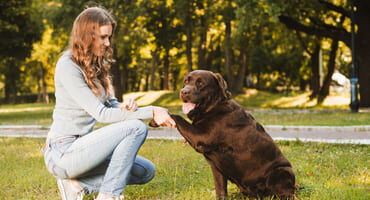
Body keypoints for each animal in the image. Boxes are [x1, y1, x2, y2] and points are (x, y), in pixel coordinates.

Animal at [168, 70, 294, 198]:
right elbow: (220, 188)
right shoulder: (216, 167)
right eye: (186, 81)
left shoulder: (202, 136)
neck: (214, 107)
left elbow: (177, 117)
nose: (184, 91)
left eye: (200, 83)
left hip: (281, 171)